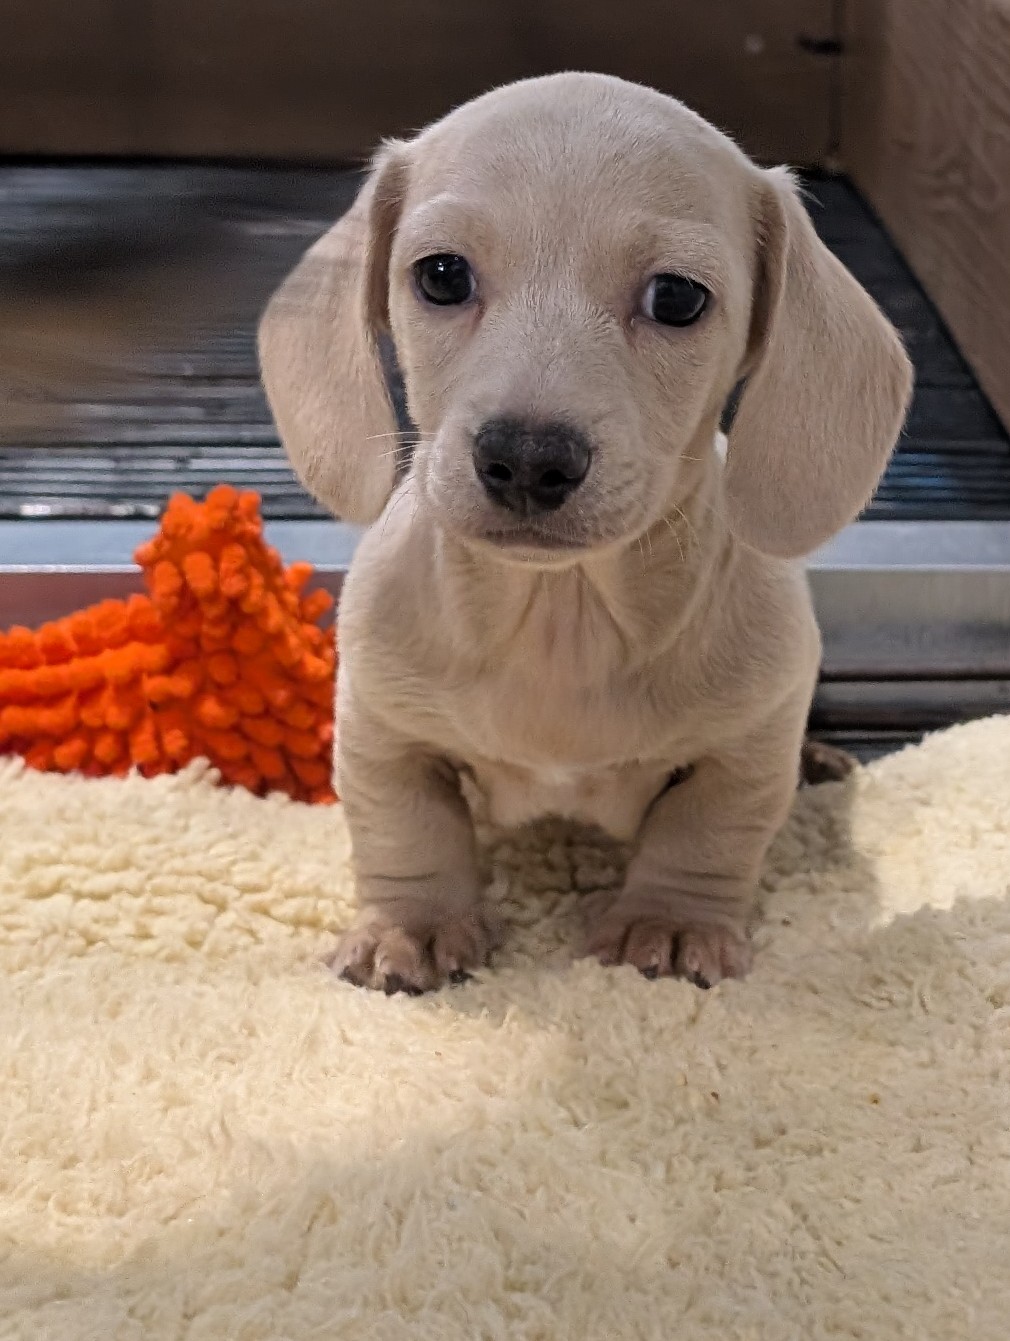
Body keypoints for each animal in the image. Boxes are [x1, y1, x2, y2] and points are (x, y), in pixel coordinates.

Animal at [259, 72, 912, 993]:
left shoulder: (748, 746)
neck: (562, 617)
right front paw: (411, 925)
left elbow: (707, 832)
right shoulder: (381, 729)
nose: (528, 459)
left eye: (677, 297)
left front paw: (669, 923)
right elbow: (405, 829)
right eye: (442, 275)